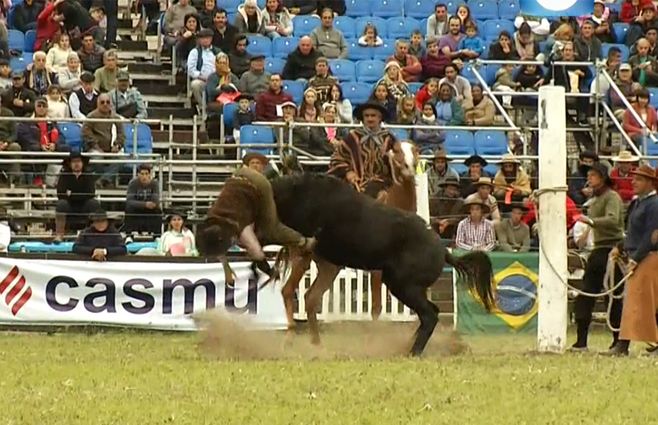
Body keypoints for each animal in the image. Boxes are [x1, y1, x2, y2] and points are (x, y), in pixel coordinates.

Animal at [278, 141, 419, 331]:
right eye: (396, 150)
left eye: (415, 150)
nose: (408, 167)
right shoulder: (377, 269)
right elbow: (376, 306)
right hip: (303, 257)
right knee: (289, 291)